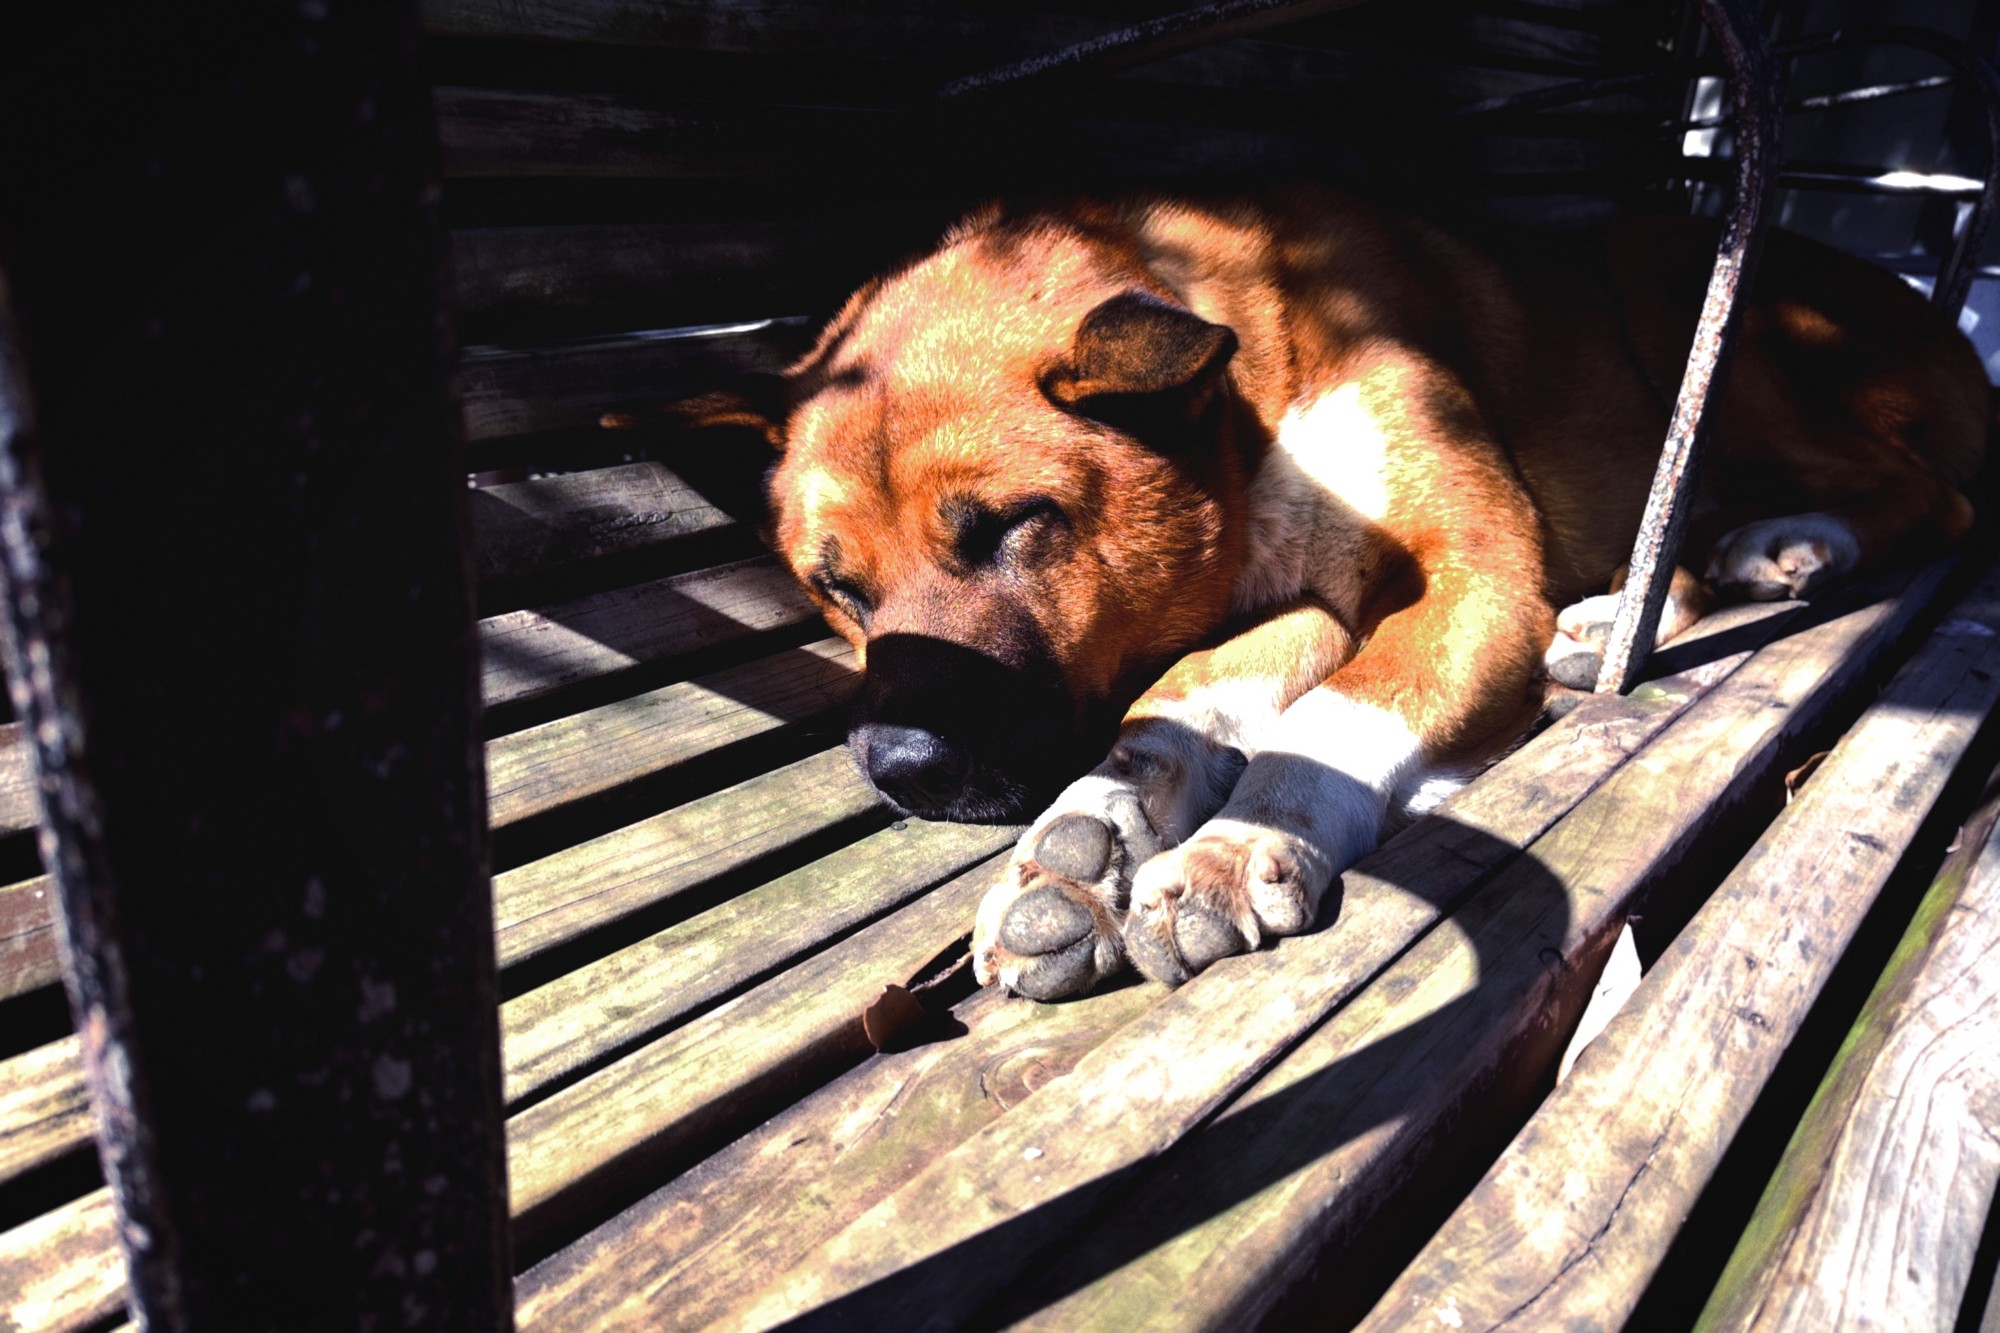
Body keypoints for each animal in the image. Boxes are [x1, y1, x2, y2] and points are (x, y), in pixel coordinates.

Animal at [687, 187, 1990, 1000]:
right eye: (833, 590)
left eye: (1012, 526)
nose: (900, 768)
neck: (1251, 399)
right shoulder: (1300, 592)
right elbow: (1185, 688)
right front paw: (1098, 821)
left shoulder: (1470, 574)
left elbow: (1334, 717)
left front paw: (1232, 844)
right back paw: (1622, 614)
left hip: (1700, 313)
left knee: (1932, 496)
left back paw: (1785, 546)